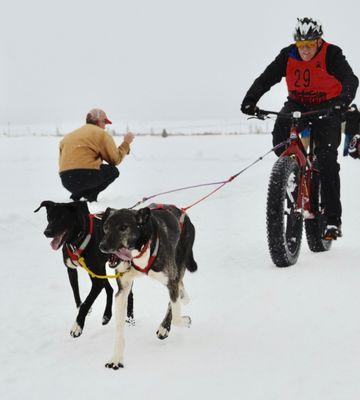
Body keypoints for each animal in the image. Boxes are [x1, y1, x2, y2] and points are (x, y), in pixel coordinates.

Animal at [34, 200, 134, 338]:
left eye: (62, 217)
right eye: (49, 217)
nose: (47, 232)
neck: (77, 240)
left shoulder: (96, 281)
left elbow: (87, 302)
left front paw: (77, 326)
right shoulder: (71, 270)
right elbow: (76, 293)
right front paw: (82, 309)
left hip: (118, 267)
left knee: (128, 293)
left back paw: (130, 318)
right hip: (98, 271)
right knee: (109, 288)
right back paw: (107, 315)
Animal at [98, 205, 197, 370]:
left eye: (123, 227)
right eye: (106, 227)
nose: (103, 246)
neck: (139, 252)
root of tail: (182, 212)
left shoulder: (170, 280)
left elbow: (177, 318)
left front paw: (185, 320)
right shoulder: (122, 291)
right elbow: (119, 330)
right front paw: (116, 358)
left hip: (179, 262)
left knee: (177, 291)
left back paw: (165, 327)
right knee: (180, 289)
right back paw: (184, 297)